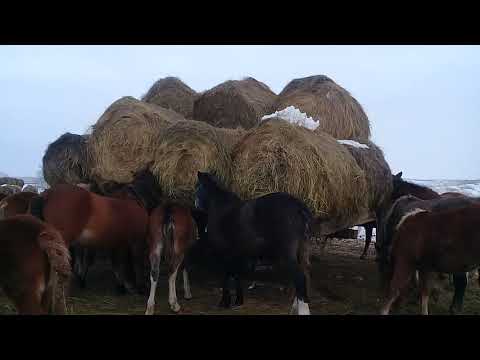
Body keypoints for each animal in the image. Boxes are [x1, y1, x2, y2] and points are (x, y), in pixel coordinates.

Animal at [29, 170, 160, 294]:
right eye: (155, 180)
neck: (132, 199)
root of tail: (46, 195)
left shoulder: (118, 243)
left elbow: (118, 264)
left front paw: (122, 286)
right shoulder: (137, 242)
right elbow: (136, 264)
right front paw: (140, 287)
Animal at [193, 172, 314, 316]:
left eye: (198, 187)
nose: (195, 203)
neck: (221, 209)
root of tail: (298, 207)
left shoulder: (224, 253)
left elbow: (226, 276)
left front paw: (224, 302)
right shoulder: (236, 253)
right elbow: (236, 274)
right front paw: (238, 301)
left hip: (287, 254)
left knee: (300, 278)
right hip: (301, 251)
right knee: (304, 277)